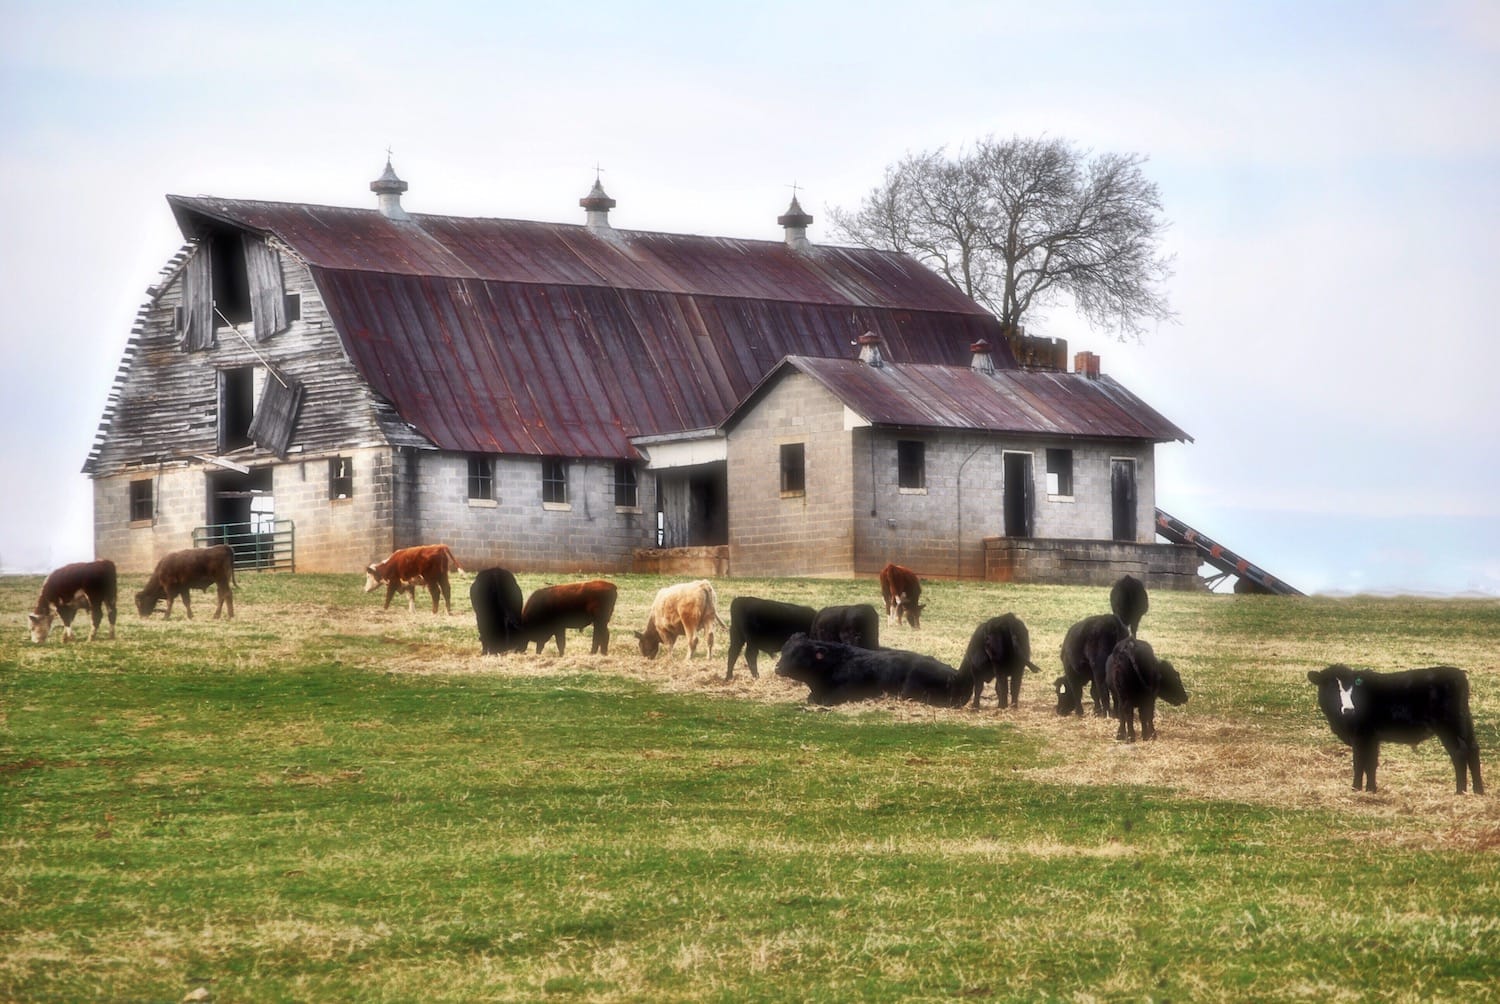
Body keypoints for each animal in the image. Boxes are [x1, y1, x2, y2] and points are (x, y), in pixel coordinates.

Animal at [1308, 660, 1482, 792]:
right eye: (1332, 687)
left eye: (1353, 688)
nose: (1349, 710)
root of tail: (1457, 674)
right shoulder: (1372, 738)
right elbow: (1371, 763)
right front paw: (1371, 790)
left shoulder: (1362, 735)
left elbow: (1360, 763)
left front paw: (1356, 789)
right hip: (1463, 722)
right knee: (1472, 749)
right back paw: (1478, 791)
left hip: (1448, 725)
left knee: (1459, 752)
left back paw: (1460, 791)